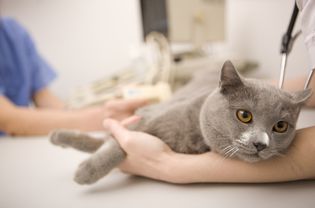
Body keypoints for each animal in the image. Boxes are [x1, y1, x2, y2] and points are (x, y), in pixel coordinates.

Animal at [50, 60, 312, 185]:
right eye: (244, 115)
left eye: (280, 126)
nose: (261, 144)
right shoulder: (145, 119)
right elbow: (114, 145)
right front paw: (85, 171)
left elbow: (112, 142)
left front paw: (84, 166)